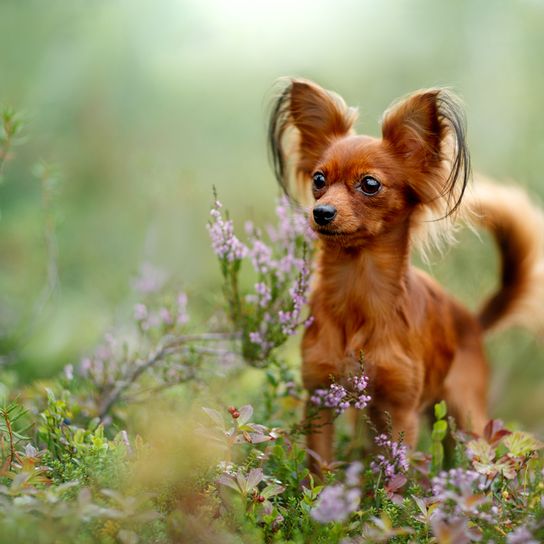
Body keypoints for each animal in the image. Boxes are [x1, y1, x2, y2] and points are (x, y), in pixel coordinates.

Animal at [268, 76, 544, 472]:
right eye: (319, 179)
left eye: (370, 184)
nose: (321, 212)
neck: (358, 287)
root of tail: (472, 321)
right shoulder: (321, 397)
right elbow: (319, 468)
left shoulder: (400, 411)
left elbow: (394, 475)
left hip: (466, 415)